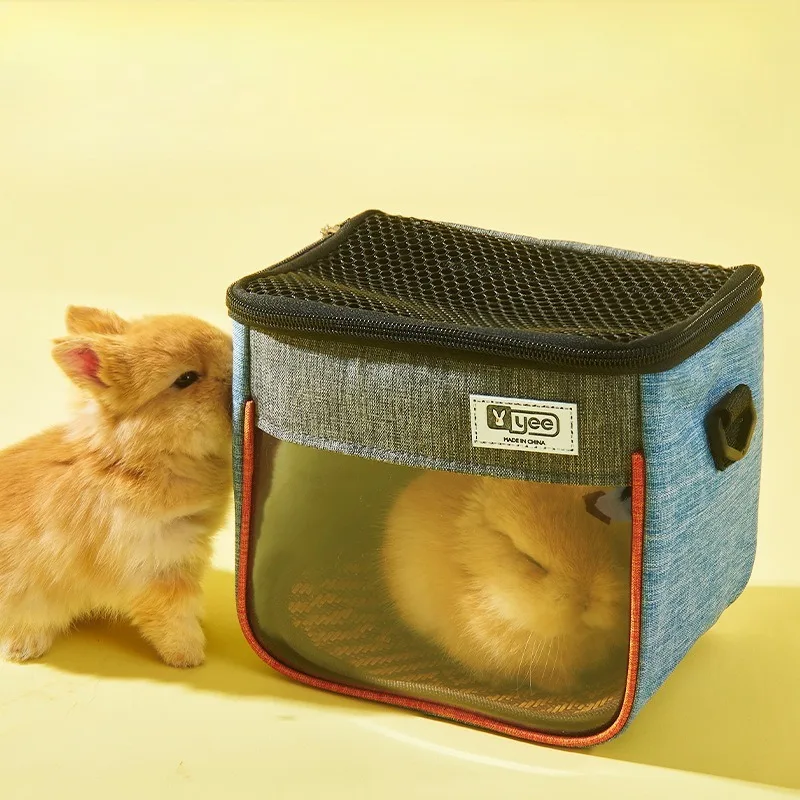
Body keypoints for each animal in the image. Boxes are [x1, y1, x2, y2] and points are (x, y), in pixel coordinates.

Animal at [0, 306, 233, 667]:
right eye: (186, 379)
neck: (135, 462)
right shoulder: (154, 567)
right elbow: (173, 617)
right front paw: (190, 657)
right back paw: (23, 647)